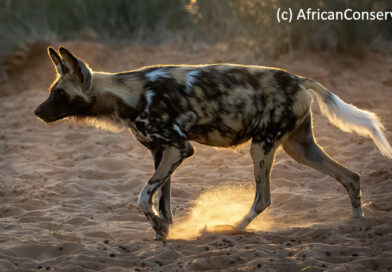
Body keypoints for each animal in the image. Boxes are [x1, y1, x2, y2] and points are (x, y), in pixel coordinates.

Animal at [34, 47, 392, 240]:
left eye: (59, 93)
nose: (36, 112)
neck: (130, 95)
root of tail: (298, 79)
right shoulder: (161, 152)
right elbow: (161, 200)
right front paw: (163, 232)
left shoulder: (180, 148)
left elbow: (142, 197)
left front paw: (161, 229)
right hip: (299, 148)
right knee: (350, 176)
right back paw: (357, 224)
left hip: (261, 147)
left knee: (263, 198)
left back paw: (232, 228)